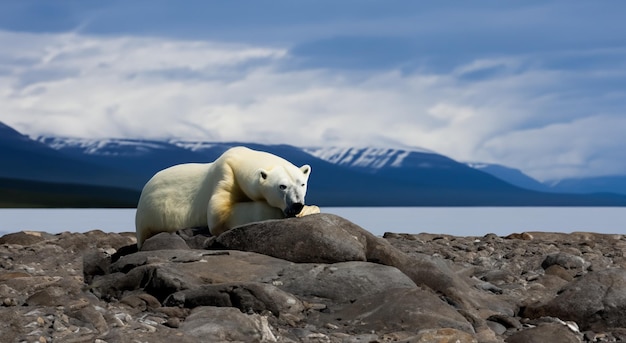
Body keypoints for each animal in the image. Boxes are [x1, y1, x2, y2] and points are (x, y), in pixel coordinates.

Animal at [135, 146, 320, 249]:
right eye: (282, 186)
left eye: (302, 184)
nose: (296, 205)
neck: (240, 159)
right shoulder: (225, 176)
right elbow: (220, 215)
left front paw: (309, 209)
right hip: (148, 214)